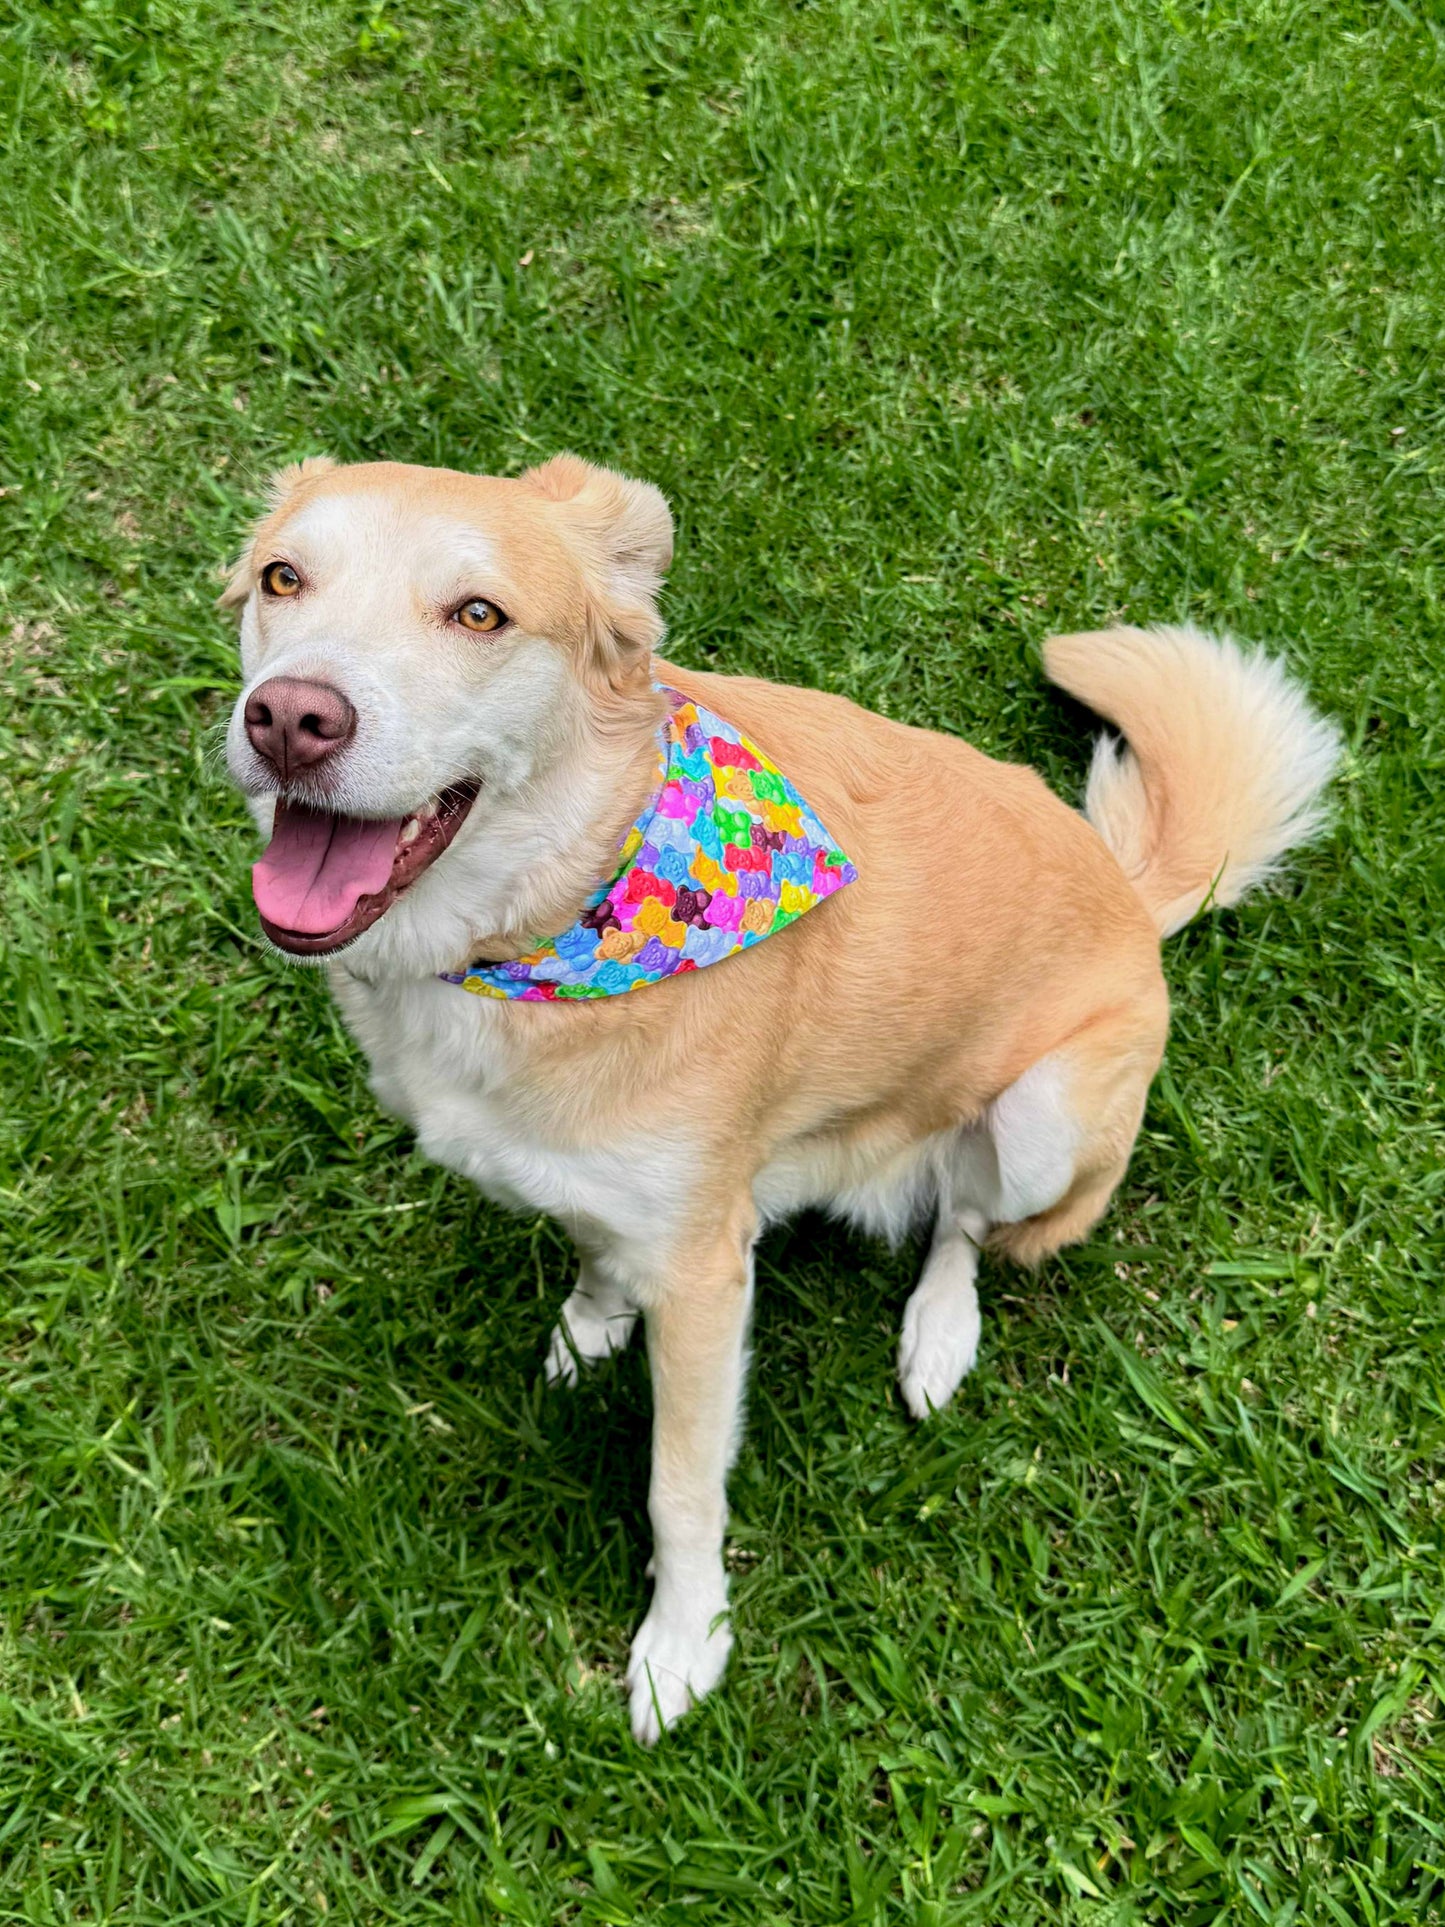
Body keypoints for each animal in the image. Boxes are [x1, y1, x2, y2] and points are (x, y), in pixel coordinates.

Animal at [220, 454, 1340, 1749]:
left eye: (478, 614)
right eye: (282, 578)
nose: (290, 719)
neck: (558, 909)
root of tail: (1127, 883)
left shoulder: (709, 1273)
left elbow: (679, 1490)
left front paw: (681, 1647)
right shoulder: (630, 1202)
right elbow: (596, 1248)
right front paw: (591, 1323)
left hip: (1040, 1120)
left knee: (964, 1223)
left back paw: (938, 1334)